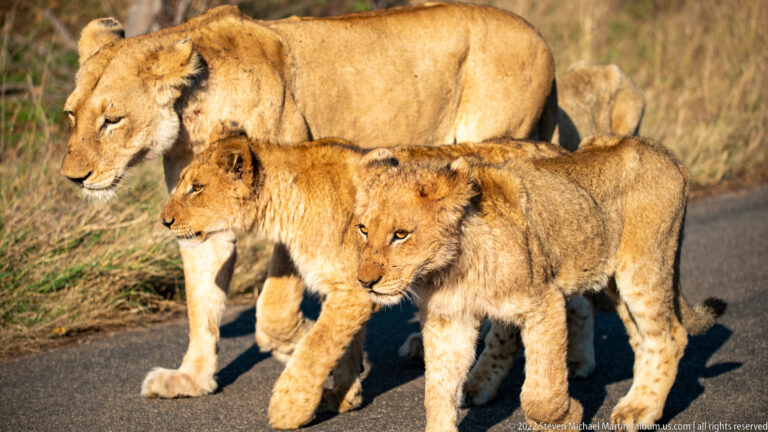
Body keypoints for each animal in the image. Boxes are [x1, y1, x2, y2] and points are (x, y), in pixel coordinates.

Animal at [59, 3, 557, 419]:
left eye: (113, 120)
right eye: (71, 115)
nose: (73, 177)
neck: (190, 114)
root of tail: (537, 33)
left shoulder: (289, 186)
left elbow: (275, 313)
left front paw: (313, 352)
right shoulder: (204, 222)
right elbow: (201, 303)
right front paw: (192, 379)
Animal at [353, 134, 726, 431]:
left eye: (401, 234)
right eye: (363, 229)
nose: (365, 281)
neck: (449, 269)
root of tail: (663, 151)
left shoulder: (543, 303)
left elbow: (541, 391)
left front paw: (565, 417)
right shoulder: (449, 320)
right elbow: (439, 391)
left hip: (643, 268)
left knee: (671, 337)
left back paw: (640, 411)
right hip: (618, 283)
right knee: (643, 338)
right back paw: (638, 403)